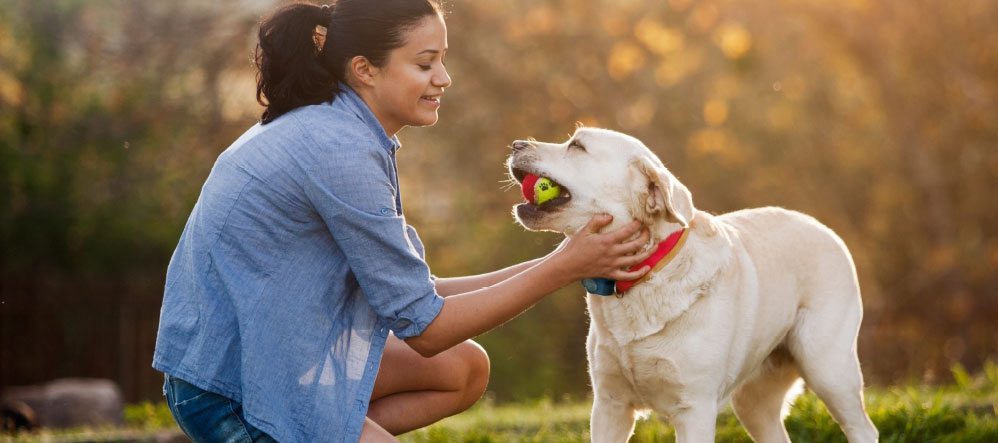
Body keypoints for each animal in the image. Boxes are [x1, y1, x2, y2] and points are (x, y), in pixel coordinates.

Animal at [508, 126, 876, 442]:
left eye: (577, 146)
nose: (515, 144)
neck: (643, 278)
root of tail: (820, 225)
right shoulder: (610, 405)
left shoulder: (694, 409)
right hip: (754, 402)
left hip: (827, 366)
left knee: (863, 429)